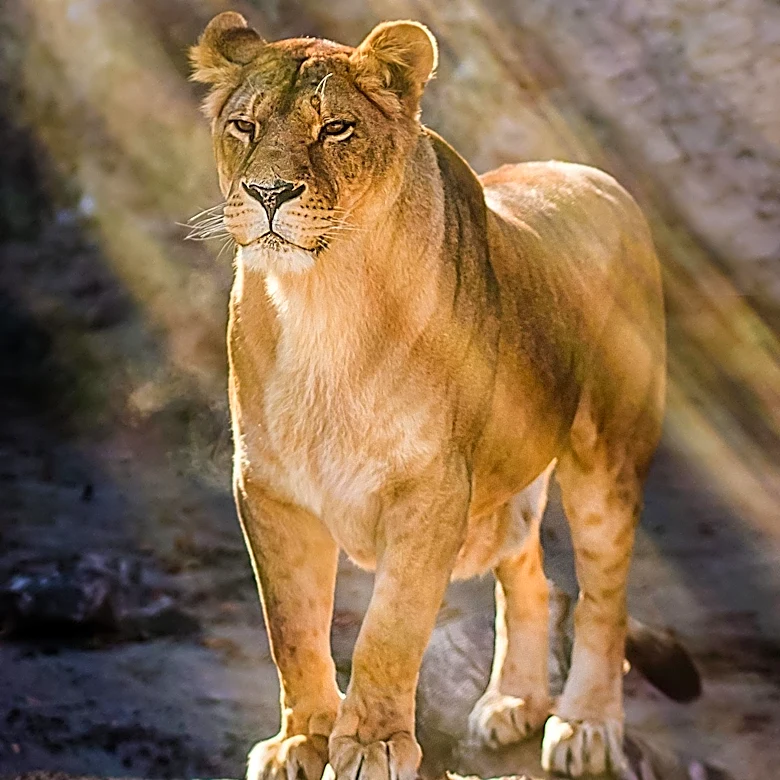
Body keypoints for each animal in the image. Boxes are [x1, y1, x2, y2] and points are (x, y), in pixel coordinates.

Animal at [190, 13, 670, 779]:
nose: (268, 194)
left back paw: (585, 726)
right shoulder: (268, 488)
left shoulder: (432, 489)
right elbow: (291, 626)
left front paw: (371, 743)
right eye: (244, 125)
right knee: (533, 582)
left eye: (336, 129)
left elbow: (391, 626)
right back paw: (513, 702)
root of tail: (588, 172)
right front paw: (302, 739)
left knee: (603, 599)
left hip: (608, 461)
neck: (323, 300)